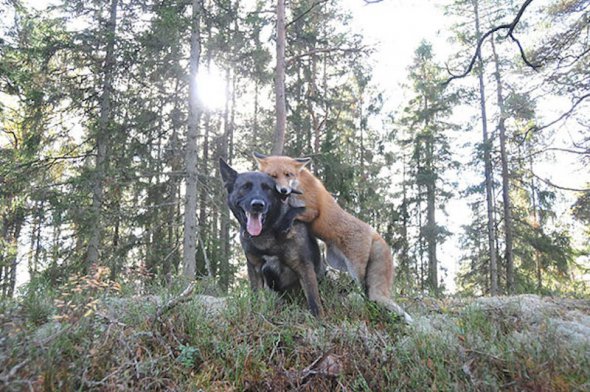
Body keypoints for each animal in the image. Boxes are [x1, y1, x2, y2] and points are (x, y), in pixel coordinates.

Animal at [221, 158, 326, 316]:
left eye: (268, 189)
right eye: (245, 187)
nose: (257, 205)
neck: (268, 231)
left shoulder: (304, 267)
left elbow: (314, 301)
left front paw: (319, 319)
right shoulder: (255, 268)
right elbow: (256, 297)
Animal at [253, 152, 412, 322]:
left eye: (288, 174)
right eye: (273, 176)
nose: (283, 190)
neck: (298, 186)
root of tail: (374, 232)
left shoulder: (312, 210)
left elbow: (294, 212)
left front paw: (284, 223)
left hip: (356, 268)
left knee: (364, 289)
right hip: (335, 262)